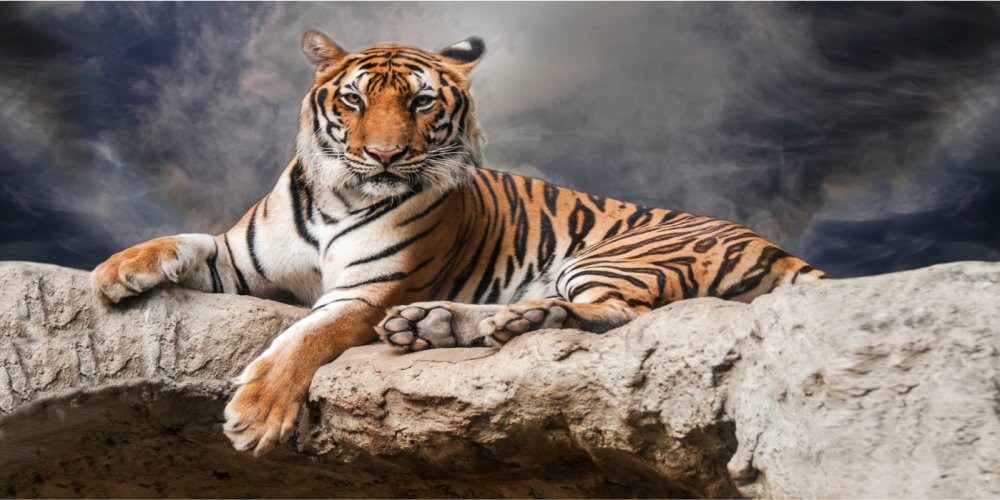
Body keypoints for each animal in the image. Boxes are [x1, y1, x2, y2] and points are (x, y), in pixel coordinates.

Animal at [91, 30, 827, 457]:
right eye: (353, 100)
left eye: (421, 103)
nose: (384, 156)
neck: (338, 196)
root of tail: (769, 242)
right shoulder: (246, 261)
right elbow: (186, 240)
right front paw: (116, 272)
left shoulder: (367, 293)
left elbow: (303, 339)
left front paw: (256, 414)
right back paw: (433, 324)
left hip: (609, 256)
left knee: (613, 314)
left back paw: (503, 320)